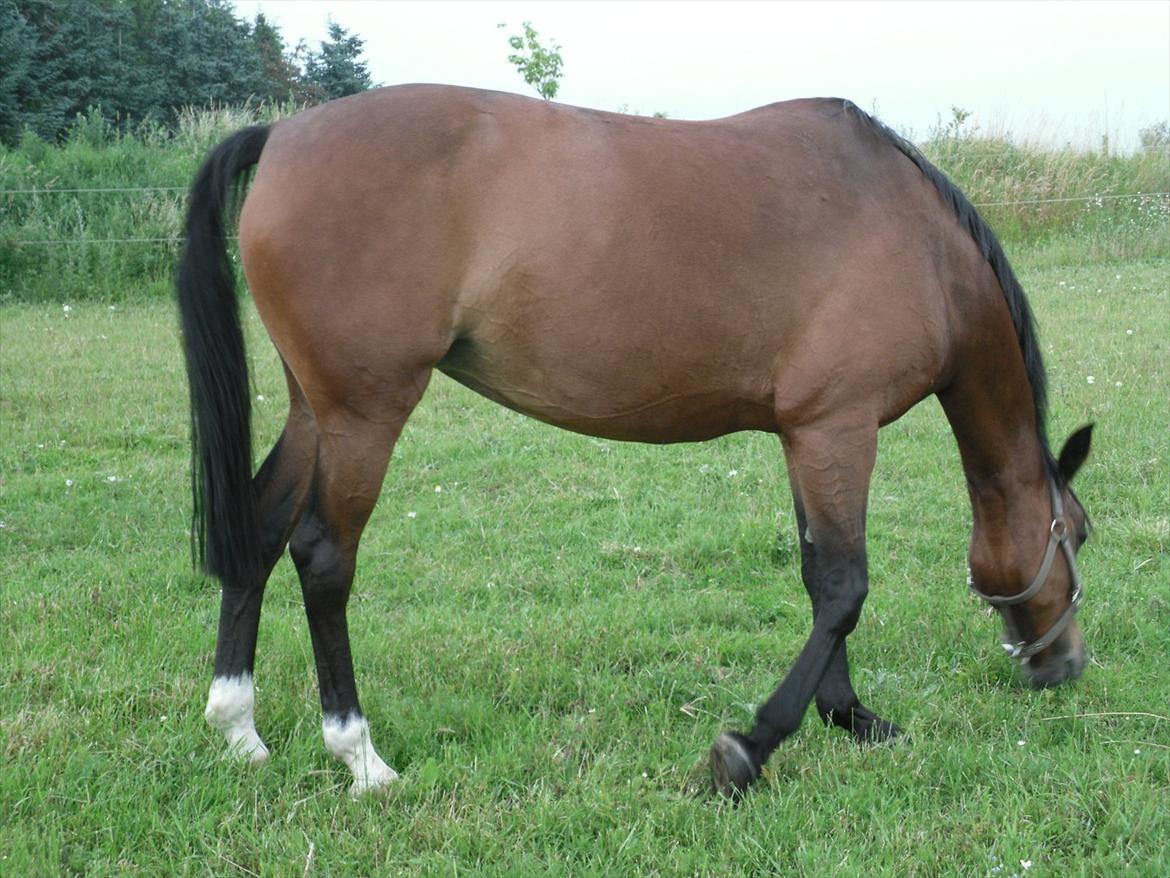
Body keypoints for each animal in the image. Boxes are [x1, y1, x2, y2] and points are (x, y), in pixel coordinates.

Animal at [177, 84, 1093, 798]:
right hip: (365, 414)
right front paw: (750, 748)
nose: (1067, 667)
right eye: (1077, 536)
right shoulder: (840, 427)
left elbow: (816, 578)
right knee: (323, 557)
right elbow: (844, 589)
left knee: (260, 531)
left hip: (315, 410)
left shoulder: (805, 434)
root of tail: (283, 133)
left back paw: (238, 727)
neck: (919, 245)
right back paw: (359, 756)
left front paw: (850, 716)